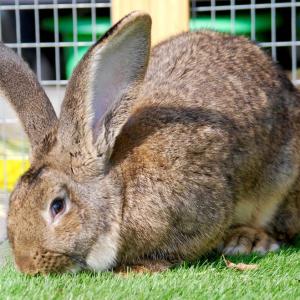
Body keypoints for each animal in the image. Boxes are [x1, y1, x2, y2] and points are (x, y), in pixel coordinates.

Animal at [1, 11, 298, 274]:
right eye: (13, 201)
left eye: (57, 206)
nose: (27, 266)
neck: (122, 193)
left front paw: (135, 270)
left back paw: (248, 241)